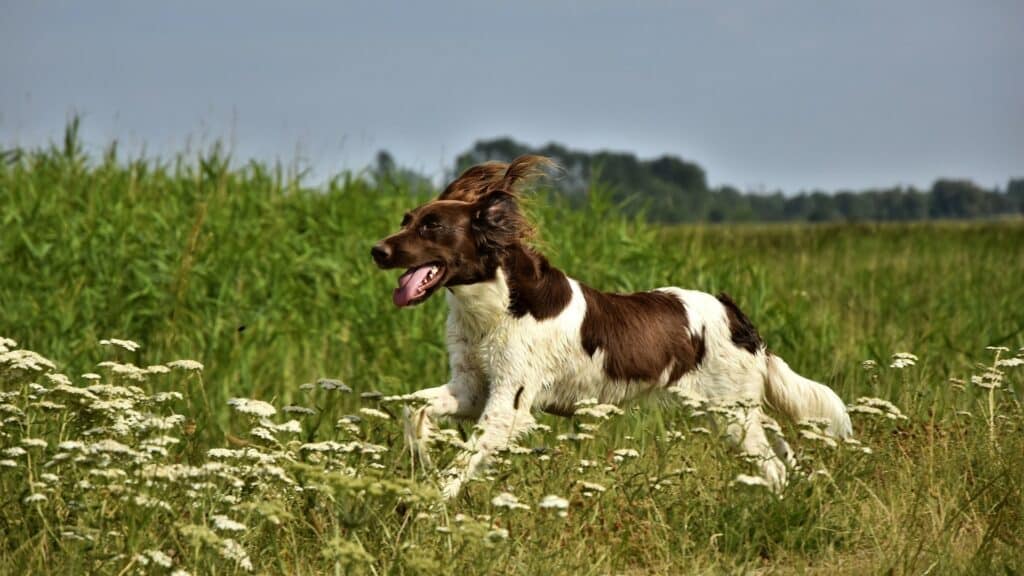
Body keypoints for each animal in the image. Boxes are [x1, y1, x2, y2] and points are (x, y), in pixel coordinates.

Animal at [372, 154, 851, 496]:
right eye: (405, 221)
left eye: (433, 226)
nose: (377, 250)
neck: (496, 304)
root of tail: (735, 314)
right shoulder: (472, 388)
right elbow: (412, 409)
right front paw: (420, 456)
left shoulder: (508, 405)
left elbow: (459, 466)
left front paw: (429, 505)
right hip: (734, 411)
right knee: (781, 449)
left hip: (733, 414)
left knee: (773, 468)